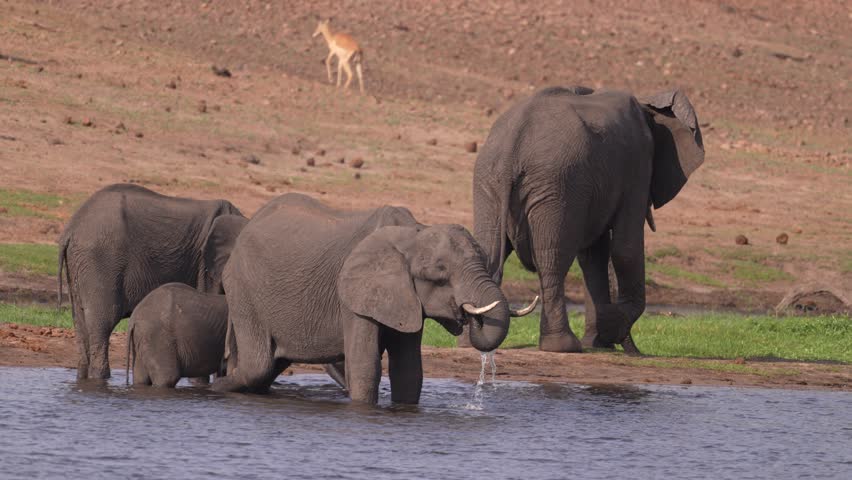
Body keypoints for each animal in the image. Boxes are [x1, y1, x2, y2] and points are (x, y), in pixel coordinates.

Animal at [57, 184, 246, 378]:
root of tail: (70, 230)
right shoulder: (206, 267)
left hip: (79, 264)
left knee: (80, 324)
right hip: (100, 260)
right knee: (102, 323)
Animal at [211, 193, 532, 404]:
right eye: (439, 273)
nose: (471, 316)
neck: (413, 233)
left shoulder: (406, 298)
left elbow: (409, 372)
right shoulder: (353, 293)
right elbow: (365, 368)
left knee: (268, 366)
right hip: (243, 287)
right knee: (257, 366)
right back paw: (216, 389)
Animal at [470, 85, 704, 352]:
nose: (634, 351)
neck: (648, 105)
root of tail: (512, 145)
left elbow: (594, 257)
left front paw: (599, 342)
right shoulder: (638, 164)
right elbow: (625, 249)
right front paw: (610, 328)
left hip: (491, 181)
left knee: (488, 250)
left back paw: (470, 343)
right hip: (557, 184)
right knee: (552, 260)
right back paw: (564, 346)